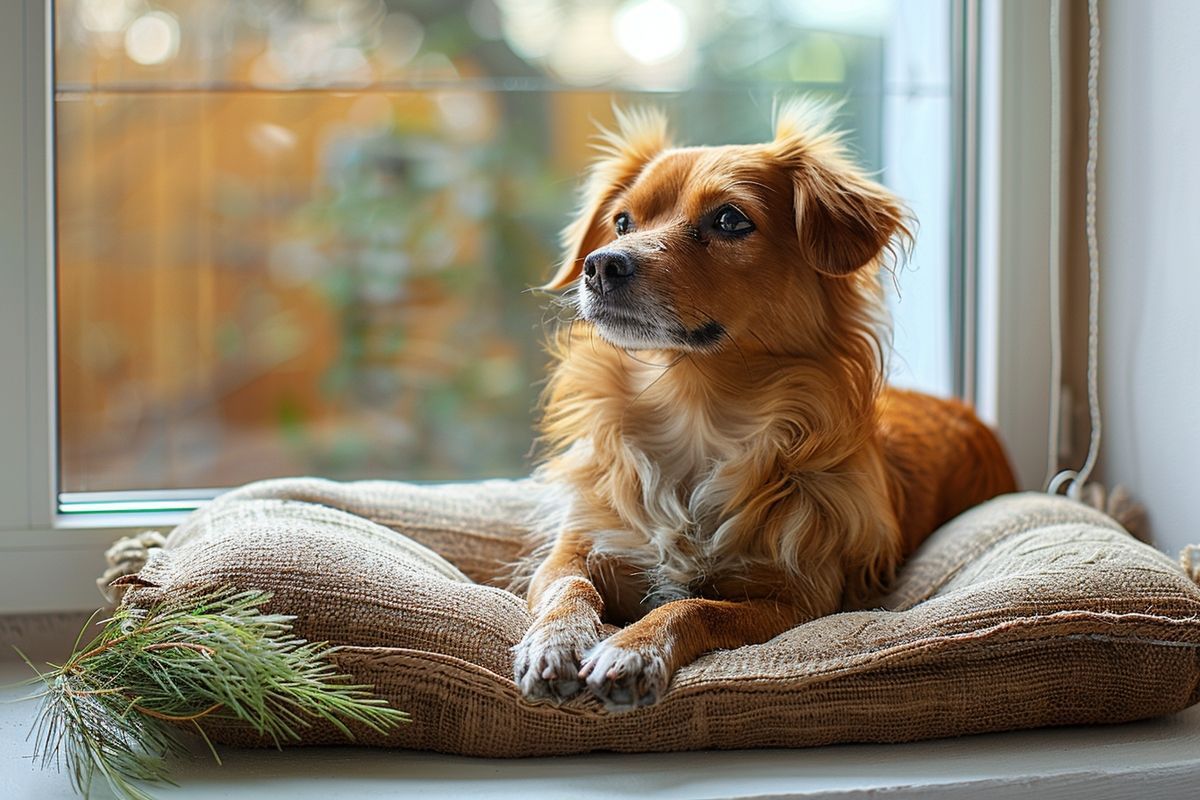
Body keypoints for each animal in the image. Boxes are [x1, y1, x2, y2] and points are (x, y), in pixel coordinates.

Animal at [511, 101, 1017, 714]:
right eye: (623, 223)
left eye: (730, 221)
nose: (600, 265)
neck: (695, 406)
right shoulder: (579, 546)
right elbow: (569, 585)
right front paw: (556, 641)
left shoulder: (796, 601)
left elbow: (693, 606)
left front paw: (634, 649)